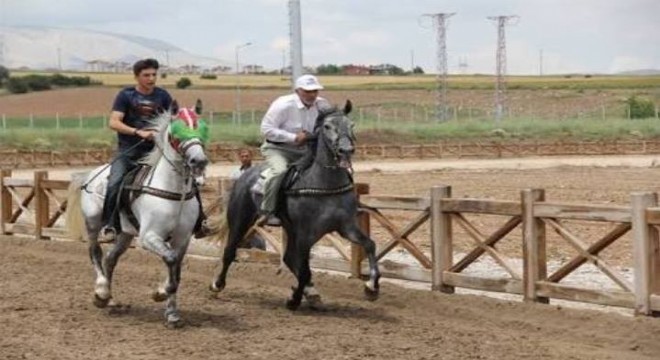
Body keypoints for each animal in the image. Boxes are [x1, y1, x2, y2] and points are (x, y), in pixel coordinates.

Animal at [64, 105, 209, 330]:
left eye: (202, 127)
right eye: (175, 133)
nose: (199, 161)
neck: (173, 192)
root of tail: (90, 174)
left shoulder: (182, 239)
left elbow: (176, 271)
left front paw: (172, 314)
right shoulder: (149, 237)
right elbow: (170, 259)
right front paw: (159, 293)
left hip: (125, 233)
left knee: (111, 258)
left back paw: (110, 299)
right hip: (93, 223)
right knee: (95, 252)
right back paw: (101, 293)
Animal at [211, 101, 382, 310]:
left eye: (351, 124)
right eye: (327, 126)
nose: (346, 150)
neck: (324, 184)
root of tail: (244, 177)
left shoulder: (346, 227)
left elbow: (370, 245)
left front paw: (371, 287)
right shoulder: (305, 234)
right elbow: (304, 269)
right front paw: (294, 300)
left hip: (289, 229)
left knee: (288, 258)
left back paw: (311, 292)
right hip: (240, 220)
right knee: (229, 251)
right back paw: (217, 285)